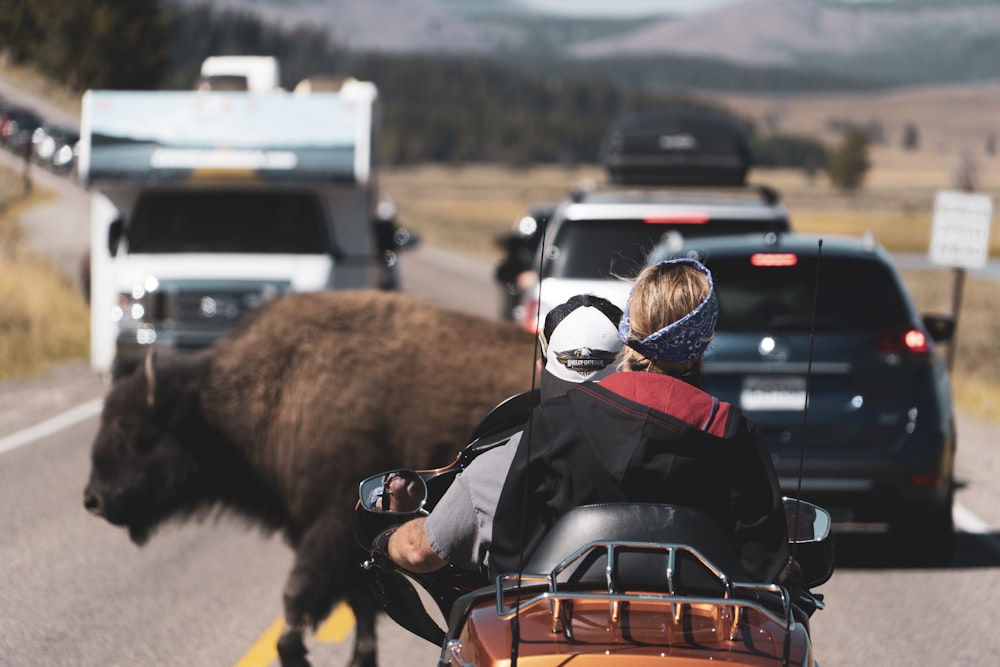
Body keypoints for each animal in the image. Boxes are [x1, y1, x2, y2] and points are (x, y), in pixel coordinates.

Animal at [84, 290, 540, 667]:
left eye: (137, 435)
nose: (94, 499)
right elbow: (360, 605)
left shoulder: (332, 526)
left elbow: (299, 595)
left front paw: (296, 653)